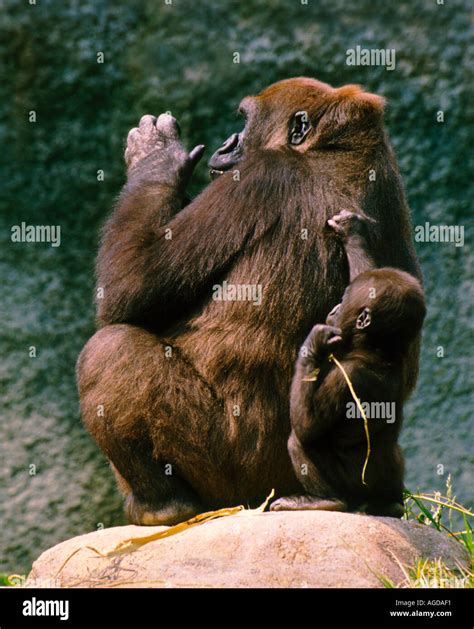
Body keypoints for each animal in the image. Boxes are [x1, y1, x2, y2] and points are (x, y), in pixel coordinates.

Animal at [270, 211, 426, 516]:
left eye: (343, 300)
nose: (333, 309)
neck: (375, 347)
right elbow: (366, 269)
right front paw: (352, 232)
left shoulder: (349, 376)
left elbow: (308, 425)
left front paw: (313, 343)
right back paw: (391, 505)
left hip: (355, 490)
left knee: (299, 439)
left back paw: (327, 500)